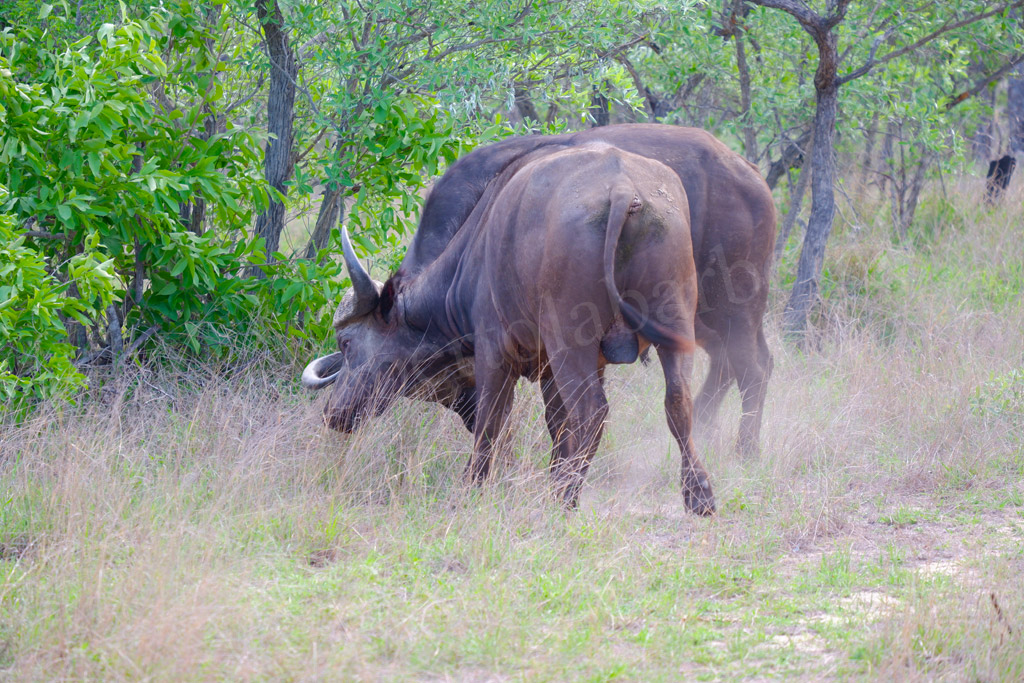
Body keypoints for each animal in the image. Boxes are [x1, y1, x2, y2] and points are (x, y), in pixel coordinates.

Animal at [296, 144, 712, 509]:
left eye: (347, 342)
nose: (334, 414)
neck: (473, 252)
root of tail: (624, 190)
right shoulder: (551, 367)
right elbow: (555, 425)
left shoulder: (495, 354)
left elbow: (490, 424)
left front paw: (470, 488)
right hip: (674, 329)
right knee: (678, 402)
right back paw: (698, 496)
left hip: (570, 344)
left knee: (592, 411)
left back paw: (565, 498)